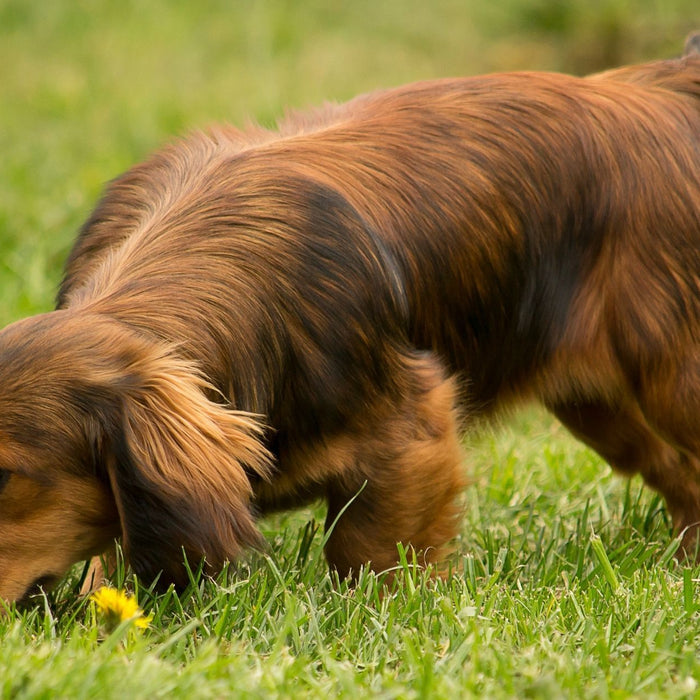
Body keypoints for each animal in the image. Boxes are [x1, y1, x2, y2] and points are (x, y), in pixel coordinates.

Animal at [1, 41, 700, 604]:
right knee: (678, 471)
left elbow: (368, 554)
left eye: (6, 476)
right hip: (602, 409)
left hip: (671, 380)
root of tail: (666, 87)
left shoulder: (411, 432)